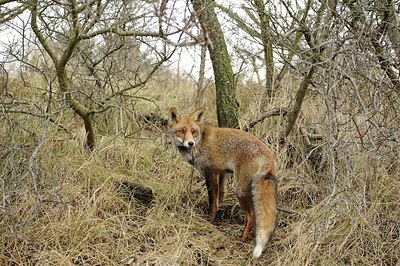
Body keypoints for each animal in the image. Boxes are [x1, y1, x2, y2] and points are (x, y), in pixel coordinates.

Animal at [167, 107, 276, 258]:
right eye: (181, 131)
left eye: (193, 132)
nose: (190, 143)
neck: (200, 143)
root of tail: (269, 154)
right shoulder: (222, 172)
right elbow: (221, 194)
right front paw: (221, 208)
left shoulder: (210, 172)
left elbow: (212, 201)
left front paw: (211, 219)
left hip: (240, 190)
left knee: (252, 215)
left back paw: (242, 238)